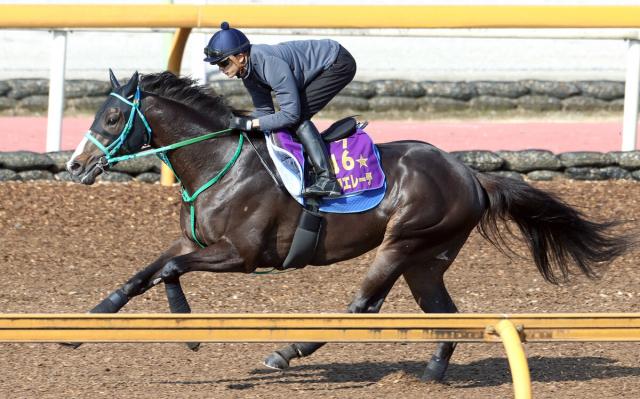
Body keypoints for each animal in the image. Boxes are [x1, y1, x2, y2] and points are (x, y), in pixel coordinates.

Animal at [66, 70, 632, 382]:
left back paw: (286, 351)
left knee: (361, 306)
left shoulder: (243, 255)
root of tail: (471, 173)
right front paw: (85, 326)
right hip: (427, 258)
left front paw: (186, 331)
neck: (220, 162)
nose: (75, 165)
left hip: (404, 241)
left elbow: (169, 272)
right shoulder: (193, 241)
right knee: (441, 312)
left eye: (111, 119)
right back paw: (432, 372)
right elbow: (145, 272)